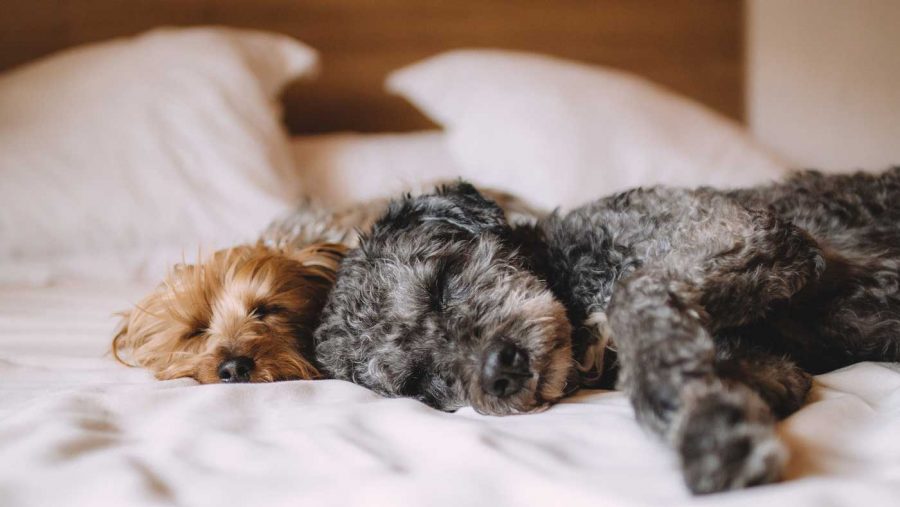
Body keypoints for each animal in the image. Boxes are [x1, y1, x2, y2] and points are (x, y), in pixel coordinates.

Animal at [312, 169, 900, 494]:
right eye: (420, 383)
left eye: (441, 283)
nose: (500, 371)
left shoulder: (748, 230)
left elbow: (632, 296)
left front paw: (708, 432)